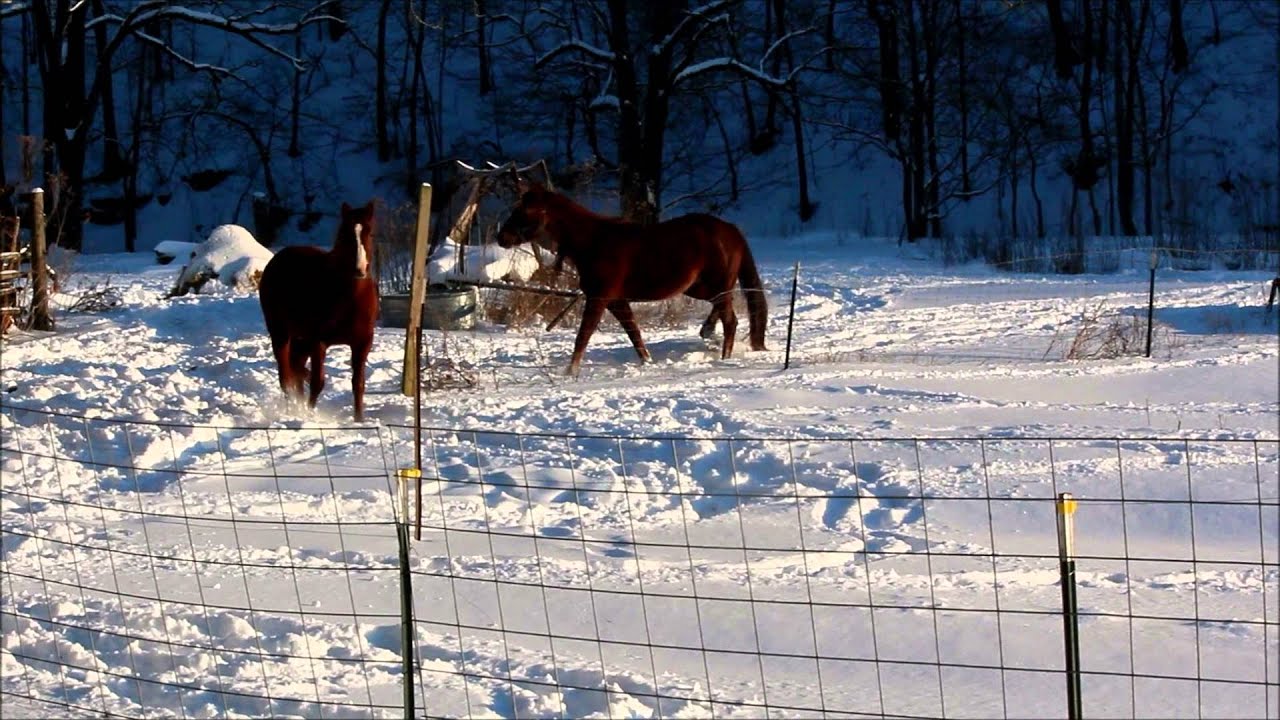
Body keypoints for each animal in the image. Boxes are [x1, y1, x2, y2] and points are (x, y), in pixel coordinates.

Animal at [258, 200, 379, 421]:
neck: (351, 298)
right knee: (286, 376)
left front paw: (359, 420)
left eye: (370, 232)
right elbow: (317, 382)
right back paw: (293, 412)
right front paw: (310, 416)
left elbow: (358, 384)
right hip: (280, 333)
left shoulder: (362, 343)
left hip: (300, 339)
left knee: (295, 367)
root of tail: (279, 257)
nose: (359, 269)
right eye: (345, 234)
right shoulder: (318, 342)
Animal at [497, 183, 767, 375]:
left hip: (716, 284)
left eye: (524, 212)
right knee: (721, 311)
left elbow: (584, 335)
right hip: (699, 287)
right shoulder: (616, 301)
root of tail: (731, 230)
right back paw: (707, 331)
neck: (593, 242)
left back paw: (724, 356)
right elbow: (634, 334)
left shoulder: (599, 298)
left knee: (730, 320)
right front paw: (647, 362)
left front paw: (570, 372)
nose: (502, 238)